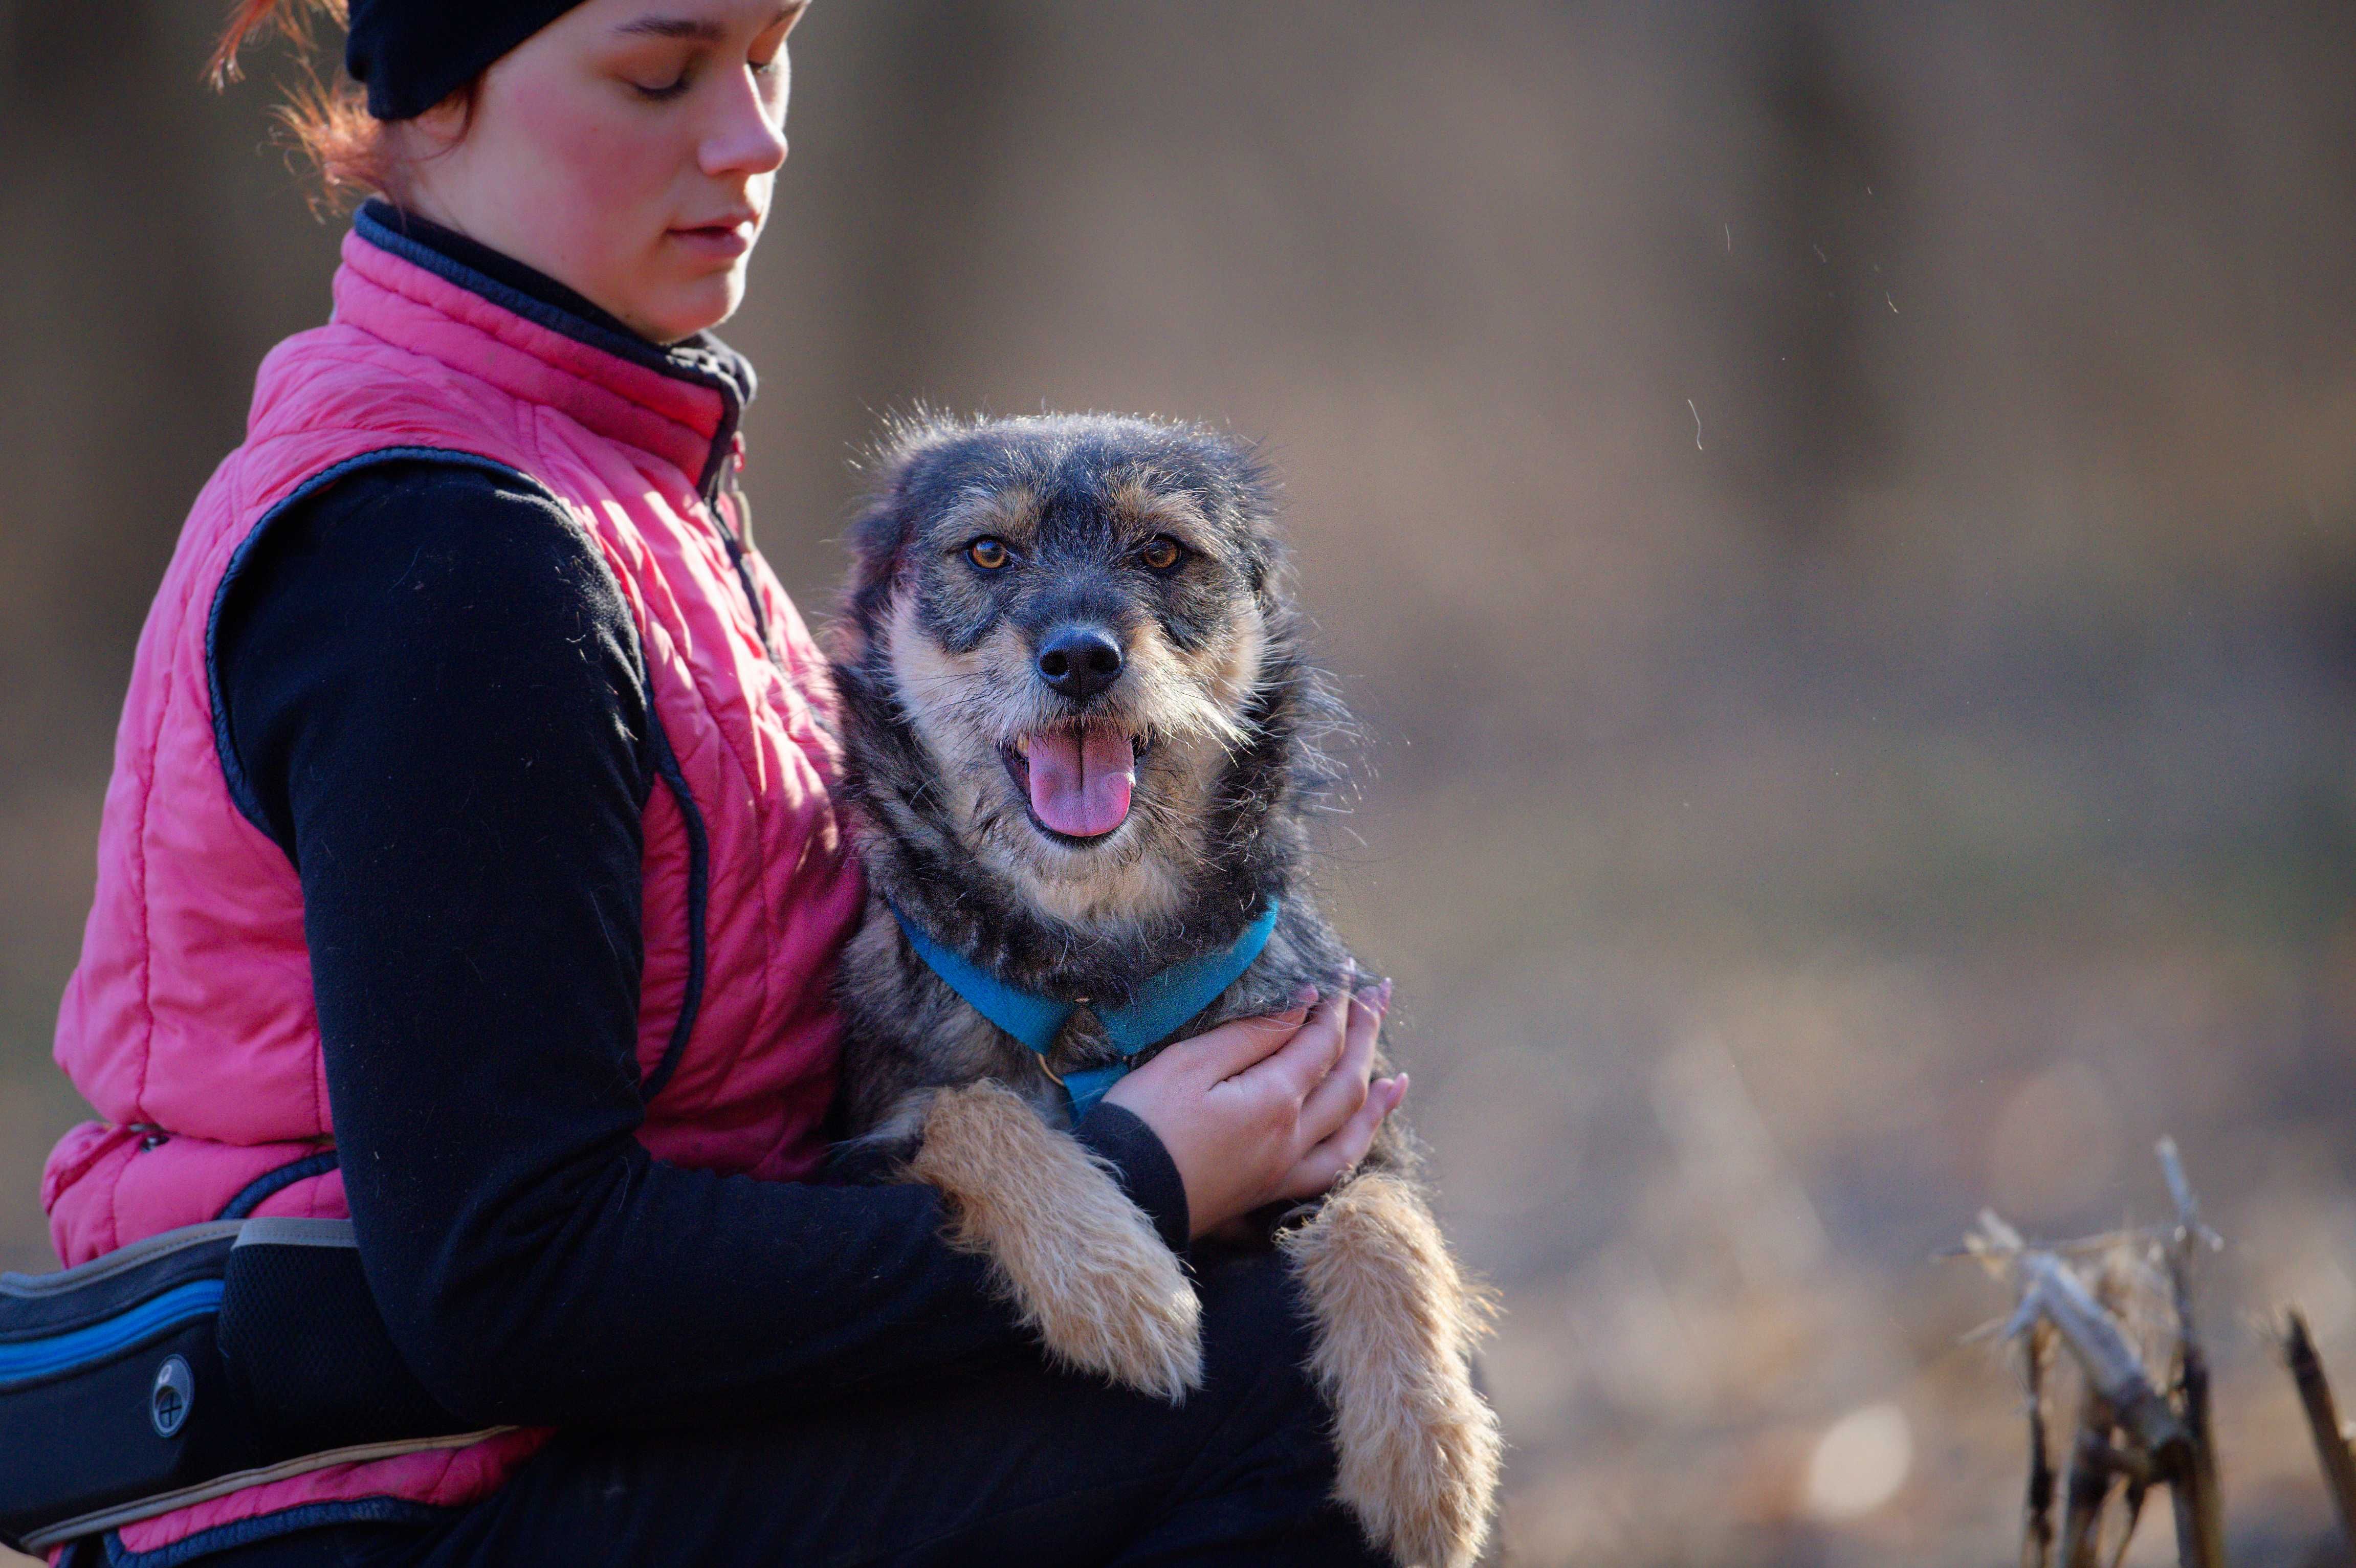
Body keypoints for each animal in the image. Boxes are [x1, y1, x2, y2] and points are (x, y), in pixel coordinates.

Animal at [820, 409, 1498, 1554]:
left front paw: (1425, 1453)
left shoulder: (1349, 1117)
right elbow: (976, 1111)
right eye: (988, 553)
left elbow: (1386, 1223)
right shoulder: (866, 1137)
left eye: (1163, 553)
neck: (1097, 956)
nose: (1081, 657)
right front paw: (1118, 1289)